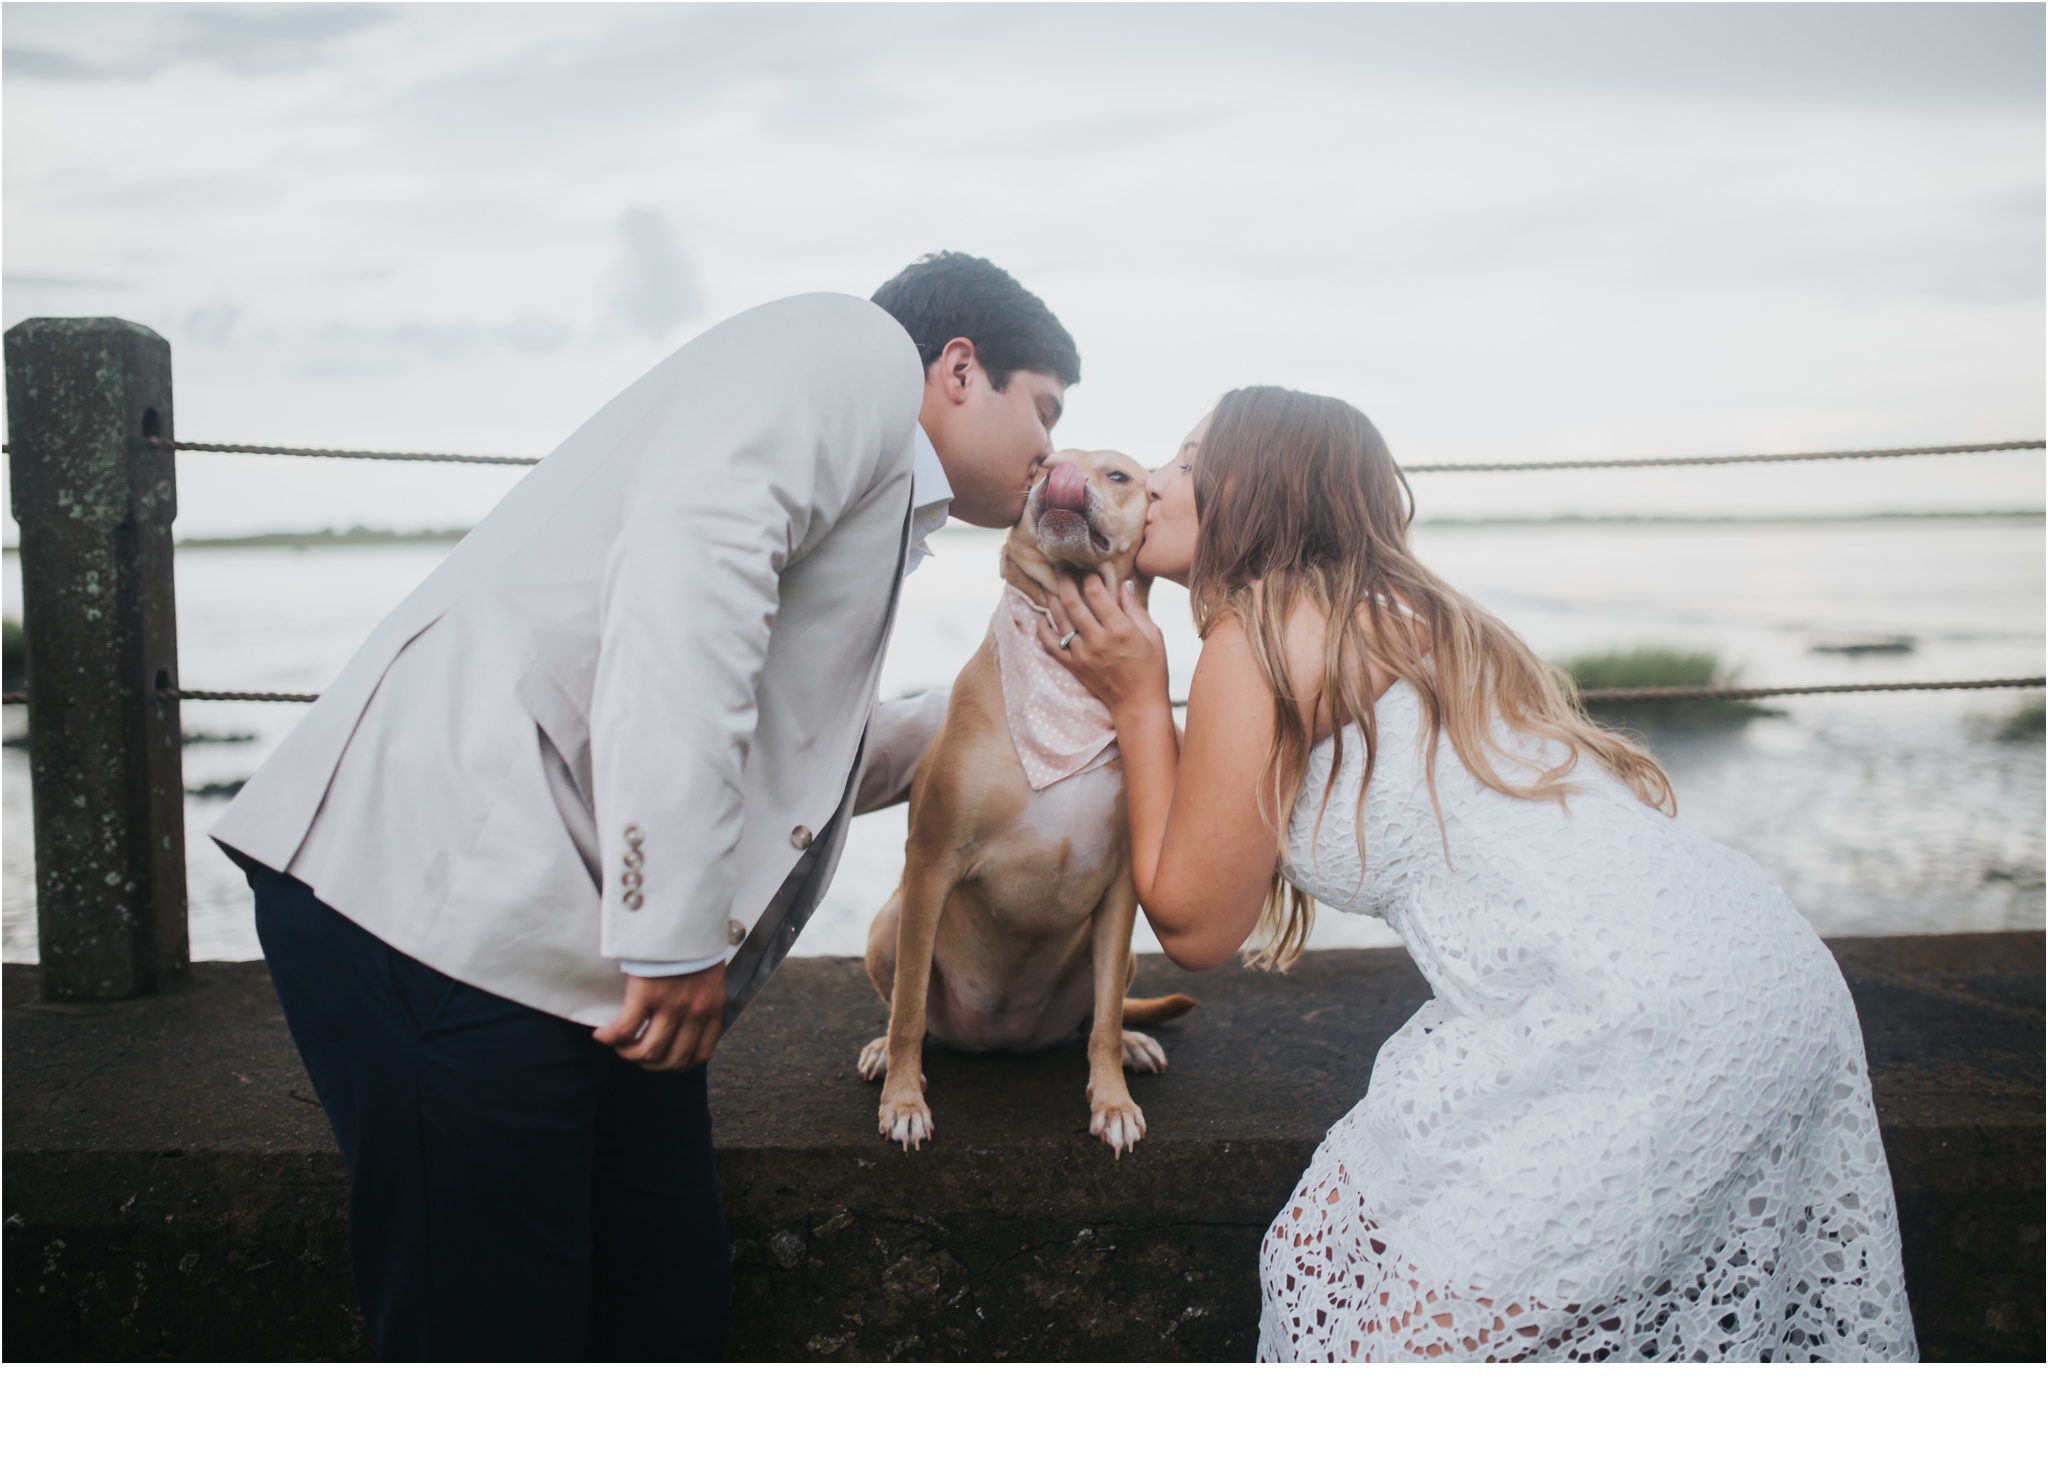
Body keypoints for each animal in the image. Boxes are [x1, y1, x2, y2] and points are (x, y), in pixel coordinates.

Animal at [860, 446, 1196, 1155]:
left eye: (1117, 475)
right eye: (1045, 463)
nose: (1056, 478)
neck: (1064, 682)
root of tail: (1002, 1039)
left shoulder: (1122, 891)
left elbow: (1101, 1021)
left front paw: (1112, 1102)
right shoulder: (930, 865)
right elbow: (908, 1007)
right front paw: (902, 1100)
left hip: (1115, 954)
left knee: (1095, 1017)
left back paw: (1133, 1042)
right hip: (889, 924)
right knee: (909, 1009)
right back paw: (885, 1056)